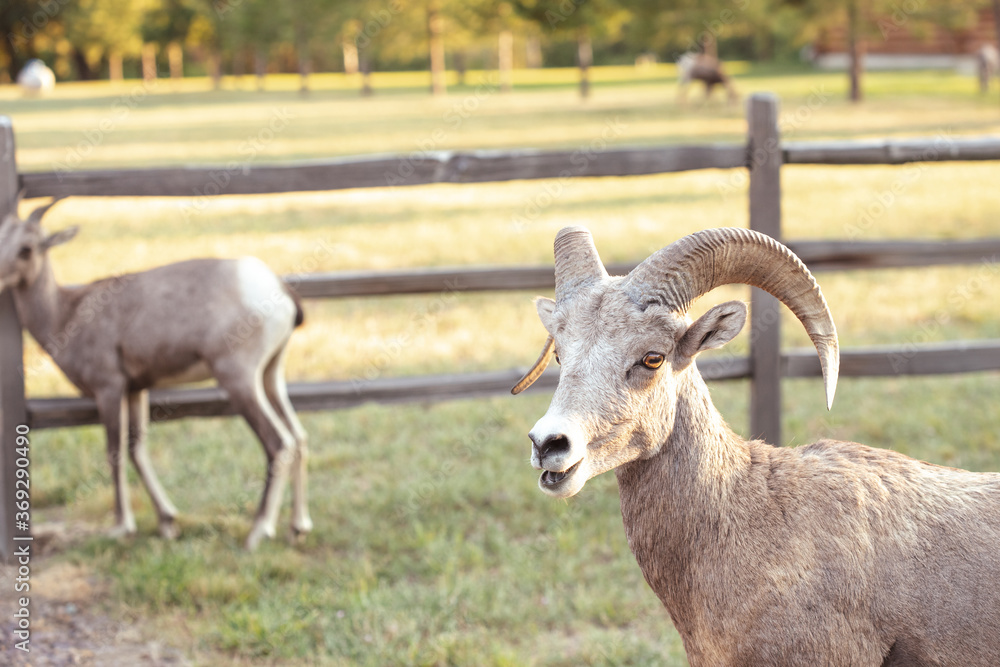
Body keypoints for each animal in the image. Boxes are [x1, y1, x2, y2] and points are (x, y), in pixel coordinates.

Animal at [0, 199, 311, 550]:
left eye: (26, 249)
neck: (67, 315)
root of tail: (276, 287)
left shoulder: (109, 389)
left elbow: (115, 452)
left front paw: (121, 527)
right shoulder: (136, 390)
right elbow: (136, 449)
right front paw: (167, 522)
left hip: (239, 381)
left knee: (279, 443)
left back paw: (258, 532)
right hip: (271, 375)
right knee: (299, 437)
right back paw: (297, 528)